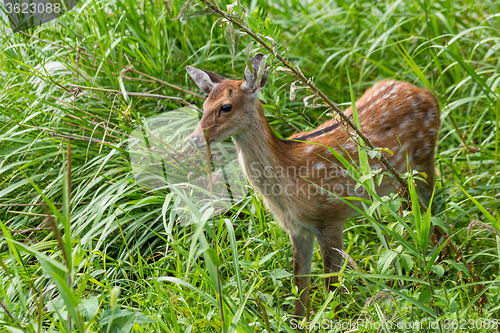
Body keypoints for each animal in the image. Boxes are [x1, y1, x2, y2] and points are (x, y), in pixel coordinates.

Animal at [186, 52, 440, 316]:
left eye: (226, 107)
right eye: (203, 106)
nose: (194, 139)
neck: (289, 183)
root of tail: (426, 93)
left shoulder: (331, 217)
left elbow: (332, 285)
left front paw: (333, 317)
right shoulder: (296, 229)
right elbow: (300, 283)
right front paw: (300, 320)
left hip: (424, 160)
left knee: (435, 209)